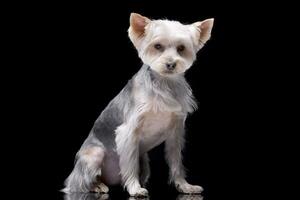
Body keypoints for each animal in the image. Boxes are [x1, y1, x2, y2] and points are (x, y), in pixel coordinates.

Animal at [62, 12, 213, 197]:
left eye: (181, 48)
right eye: (157, 46)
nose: (171, 64)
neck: (164, 84)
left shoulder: (175, 133)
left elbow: (176, 161)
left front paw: (184, 186)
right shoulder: (128, 132)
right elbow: (130, 164)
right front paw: (135, 188)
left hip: (144, 160)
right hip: (94, 154)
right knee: (78, 183)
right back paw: (97, 186)